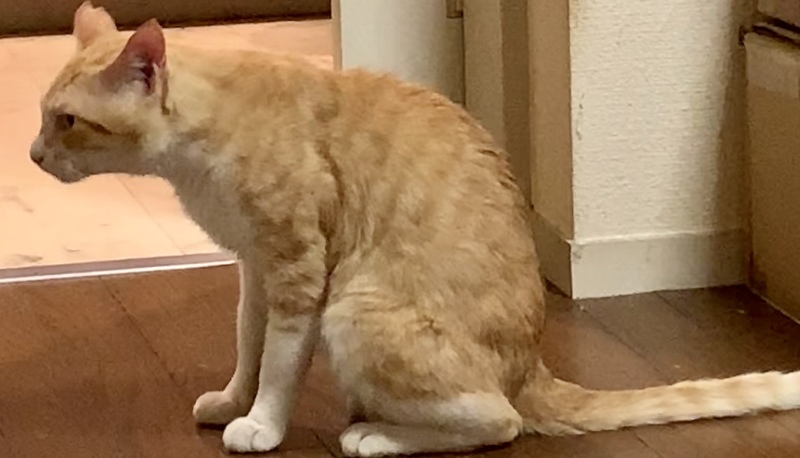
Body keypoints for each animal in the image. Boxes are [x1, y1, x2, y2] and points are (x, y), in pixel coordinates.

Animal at [28, 2, 800, 457]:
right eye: (44, 116)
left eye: (67, 120)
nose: (32, 156)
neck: (197, 150)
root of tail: (533, 367)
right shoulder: (254, 266)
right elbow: (248, 345)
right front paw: (232, 401)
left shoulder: (300, 270)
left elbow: (279, 363)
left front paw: (264, 425)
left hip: (355, 310)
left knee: (498, 421)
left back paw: (375, 435)